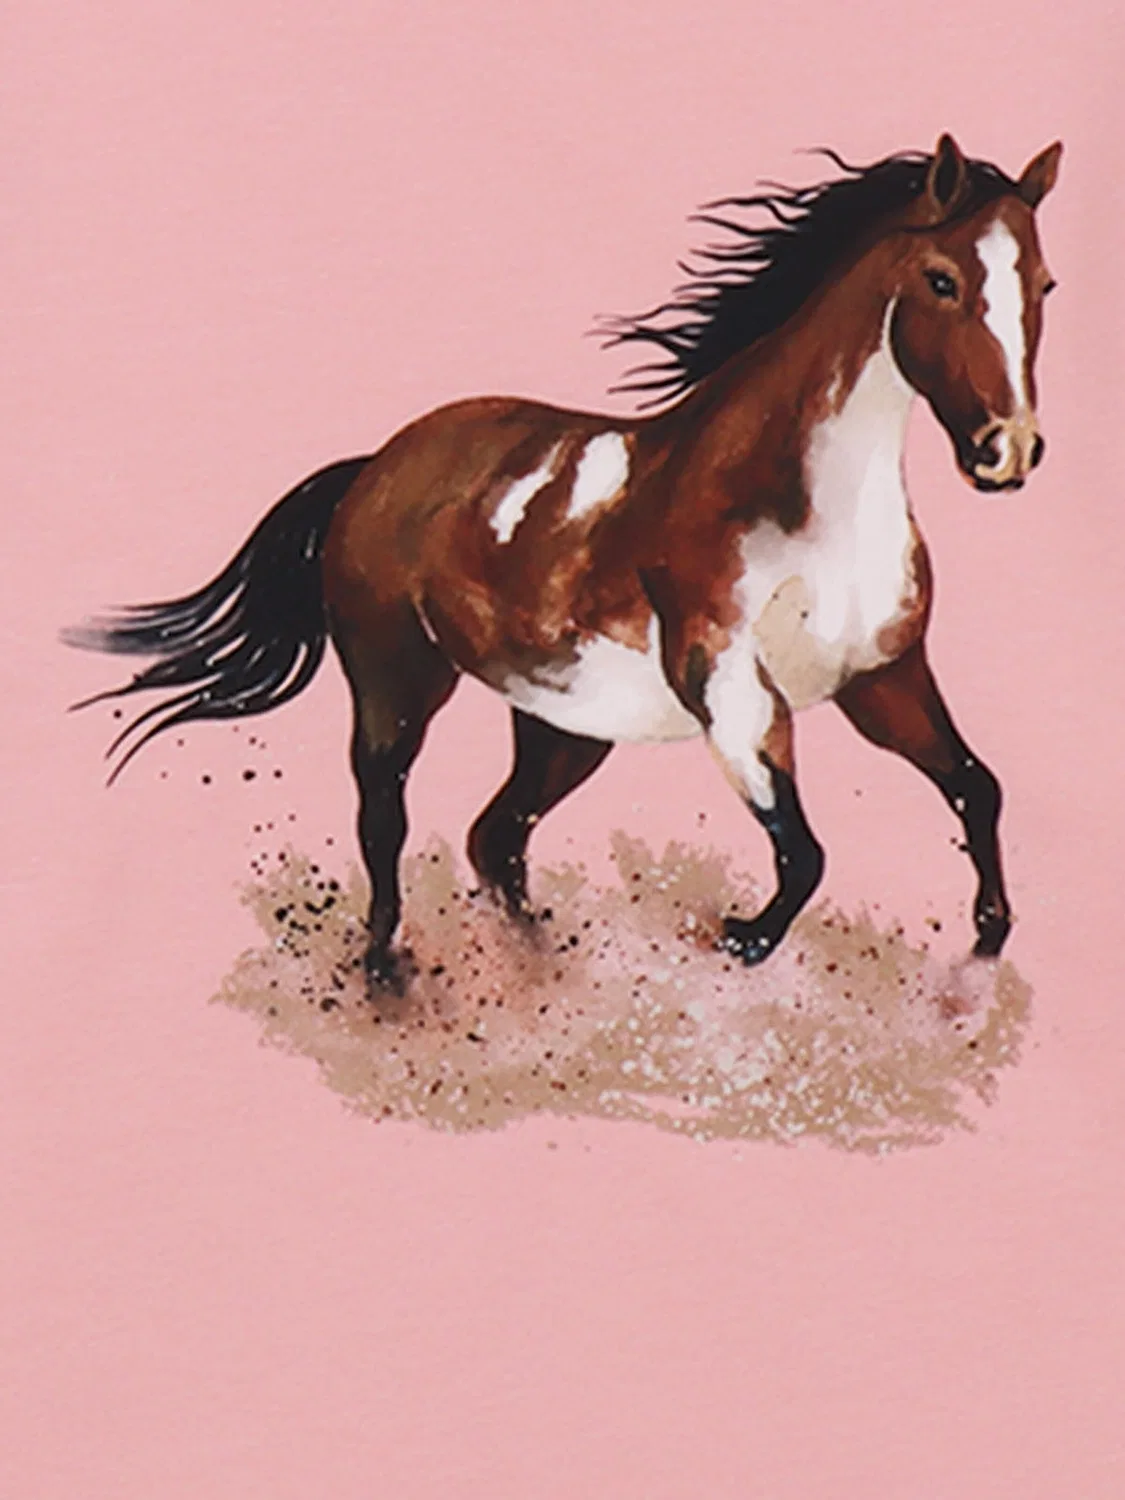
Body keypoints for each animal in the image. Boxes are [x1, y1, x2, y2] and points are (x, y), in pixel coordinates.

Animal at [65, 132, 1061, 990]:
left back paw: (541, 966)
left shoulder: (884, 678)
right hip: (396, 680)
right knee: (385, 818)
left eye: (1045, 284)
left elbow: (975, 788)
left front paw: (987, 941)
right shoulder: (731, 690)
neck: (807, 508)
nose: (1006, 451)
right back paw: (389, 972)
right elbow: (805, 852)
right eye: (940, 279)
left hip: (561, 721)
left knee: (495, 840)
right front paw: (738, 937)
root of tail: (376, 465)